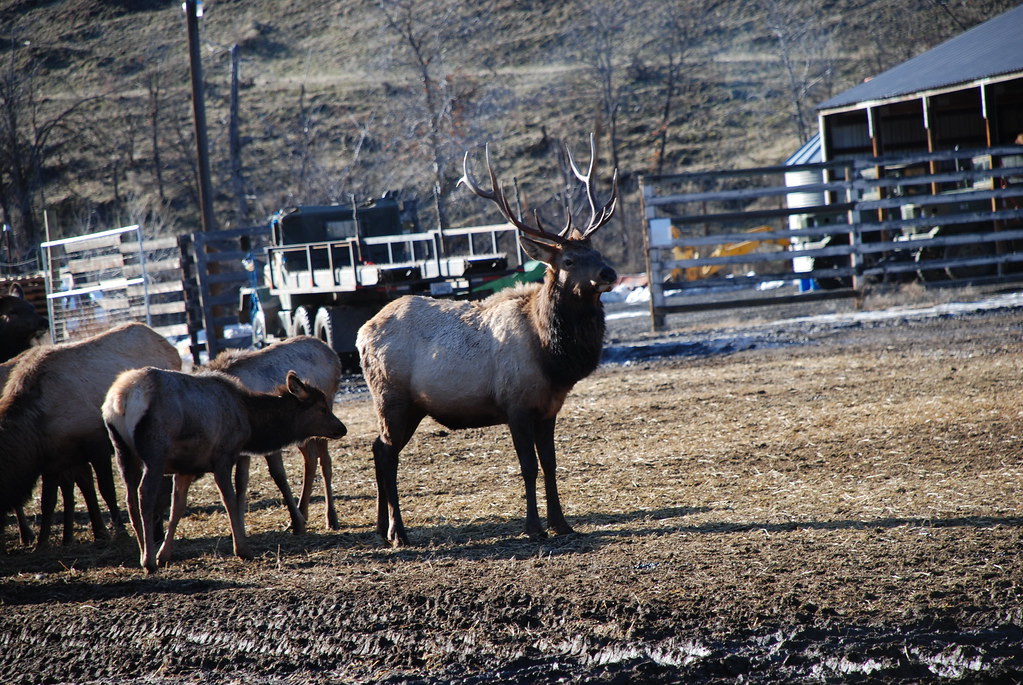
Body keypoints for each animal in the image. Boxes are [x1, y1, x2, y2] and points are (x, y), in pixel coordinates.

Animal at [102, 367, 347, 573]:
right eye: (322, 408)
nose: (342, 428)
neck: (250, 424)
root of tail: (120, 400)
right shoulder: (223, 455)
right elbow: (229, 499)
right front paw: (243, 549)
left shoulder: (186, 468)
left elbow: (177, 508)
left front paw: (165, 555)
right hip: (155, 452)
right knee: (145, 495)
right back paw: (148, 561)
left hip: (123, 451)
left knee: (130, 499)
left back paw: (145, 554)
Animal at [207, 337, 343, 533]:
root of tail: (332, 353)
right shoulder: (244, 449)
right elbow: (241, 481)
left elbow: (278, 474)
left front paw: (296, 522)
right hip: (306, 433)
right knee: (311, 458)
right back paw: (304, 512)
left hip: (326, 416)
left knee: (325, 461)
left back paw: (331, 518)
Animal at [356, 134, 618, 547]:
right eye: (569, 261)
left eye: (596, 250)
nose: (609, 272)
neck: (552, 357)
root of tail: (361, 333)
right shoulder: (515, 404)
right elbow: (528, 466)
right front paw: (533, 527)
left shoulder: (549, 407)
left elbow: (551, 463)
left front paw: (561, 523)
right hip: (391, 398)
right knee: (386, 453)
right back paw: (398, 532)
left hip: (405, 406)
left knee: (377, 448)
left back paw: (382, 528)